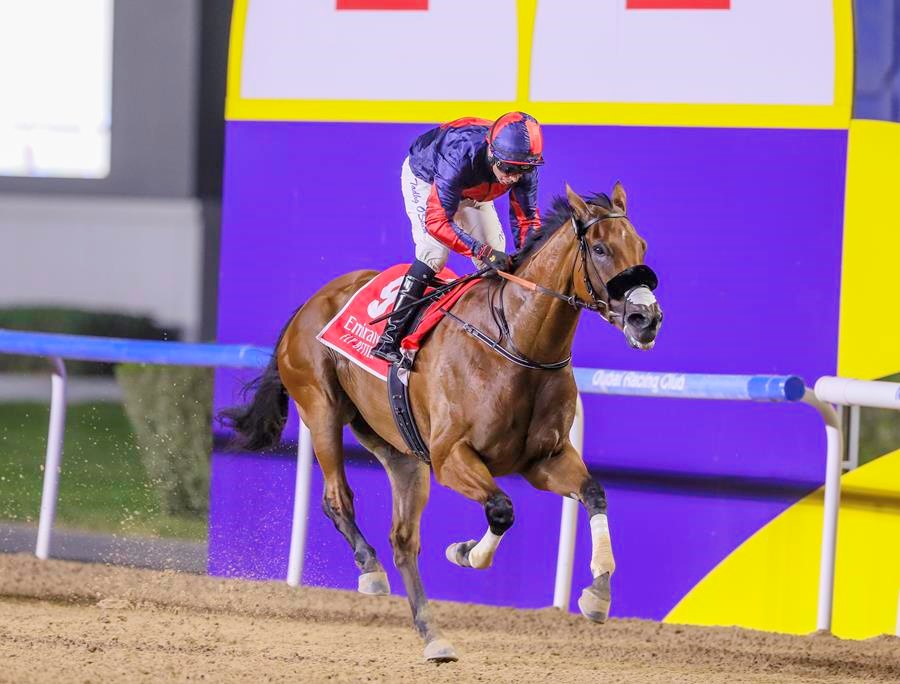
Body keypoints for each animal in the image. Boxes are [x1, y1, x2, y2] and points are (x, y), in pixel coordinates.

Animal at [225, 183, 660, 664]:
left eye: (641, 245)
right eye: (600, 248)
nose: (647, 319)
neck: (517, 344)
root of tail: (311, 301)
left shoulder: (545, 459)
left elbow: (594, 494)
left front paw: (598, 593)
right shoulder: (451, 456)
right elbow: (502, 510)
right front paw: (464, 552)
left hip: (401, 452)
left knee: (403, 539)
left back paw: (432, 635)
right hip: (321, 410)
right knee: (337, 500)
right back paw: (370, 569)